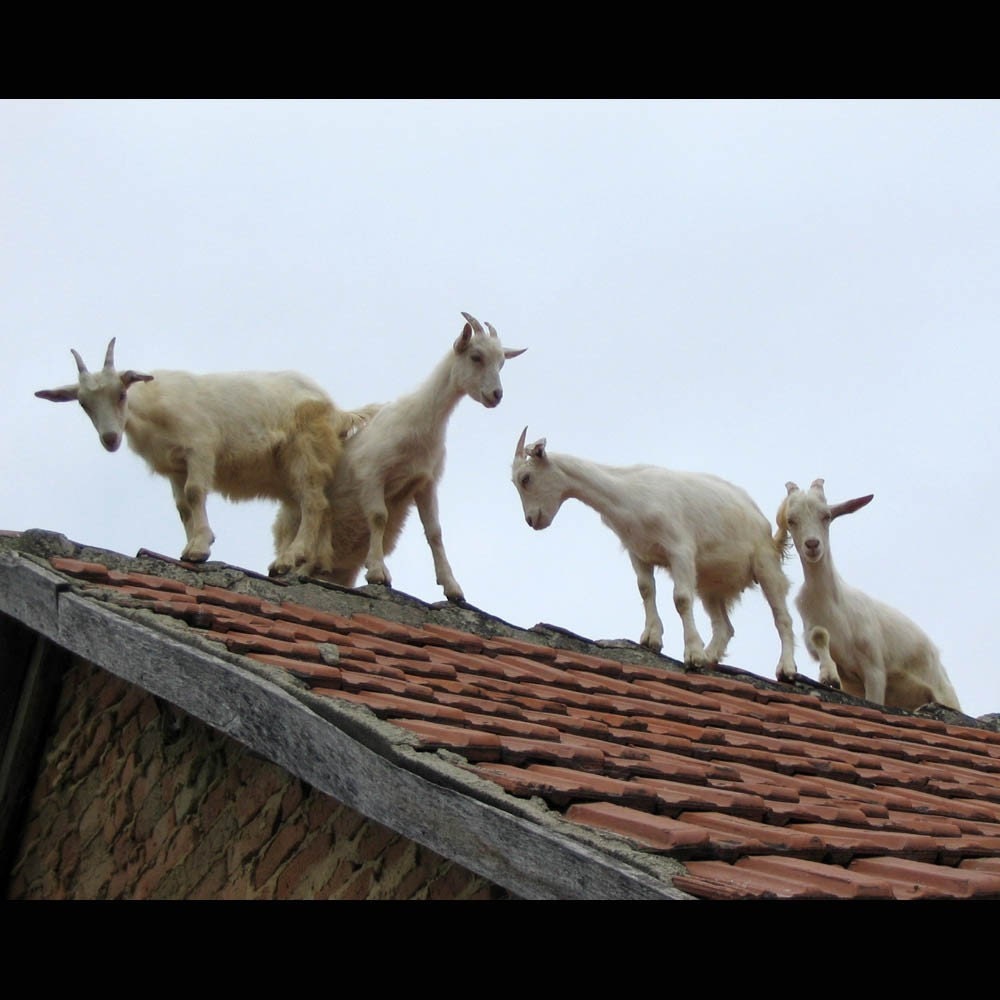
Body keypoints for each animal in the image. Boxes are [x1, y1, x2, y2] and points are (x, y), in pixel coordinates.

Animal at [36, 338, 370, 573]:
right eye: (83, 404)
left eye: (121, 394)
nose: (110, 439)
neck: (152, 410)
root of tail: (337, 411)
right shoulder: (173, 466)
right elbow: (183, 506)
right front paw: (191, 545)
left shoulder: (199, 448)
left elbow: (195, 492)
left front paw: (201, 548)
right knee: (321, 504)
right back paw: (314, 563)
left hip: (304, 449)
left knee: (312, 502)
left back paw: (290, 559)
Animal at [272, 312, 526, 601]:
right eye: (476, 356)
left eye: (502, 363)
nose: (496, 395)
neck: (419, 424)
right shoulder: (372, 474)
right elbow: (378, 516)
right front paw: (378, 572)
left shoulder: (425, 482)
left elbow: (435, 532)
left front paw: (452, 587)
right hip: (293, 525)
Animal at [511, 428, 798, 680]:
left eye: (526, 478)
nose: (532, 520)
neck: (628, 496)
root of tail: (764, 525)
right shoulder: (638, 552)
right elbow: (646, 589)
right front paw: (652, 639)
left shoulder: (680, 550)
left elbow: (681, 599)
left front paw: (692, 654)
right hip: (710, 585)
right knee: (724, 627)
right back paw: (710, 656)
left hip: (765, 565)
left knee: (782, 617)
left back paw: (786, 669)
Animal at [775, 479, 962, 711]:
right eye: (791, 520)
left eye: (827, 515)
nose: (812, 545)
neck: (831, 603)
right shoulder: (847, 676)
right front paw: (827, 676)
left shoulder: (874, 667)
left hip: (944, 695)